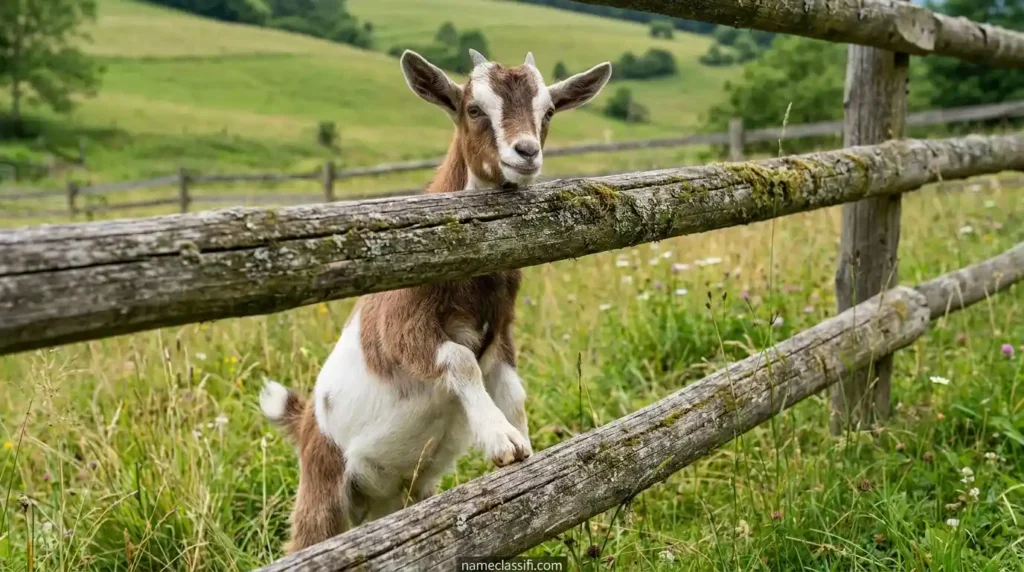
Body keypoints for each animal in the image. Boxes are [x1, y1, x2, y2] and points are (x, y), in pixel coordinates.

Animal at [261, 48, 612, 554]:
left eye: (548, 111)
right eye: (474, 109)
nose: (526, 152)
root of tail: (307, 419)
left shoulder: (501, 332)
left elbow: (512, 387)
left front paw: (525, 443)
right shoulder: (401, 327)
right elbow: (461, 360)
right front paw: (501, 439)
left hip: (402, 494)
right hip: (324, 488)